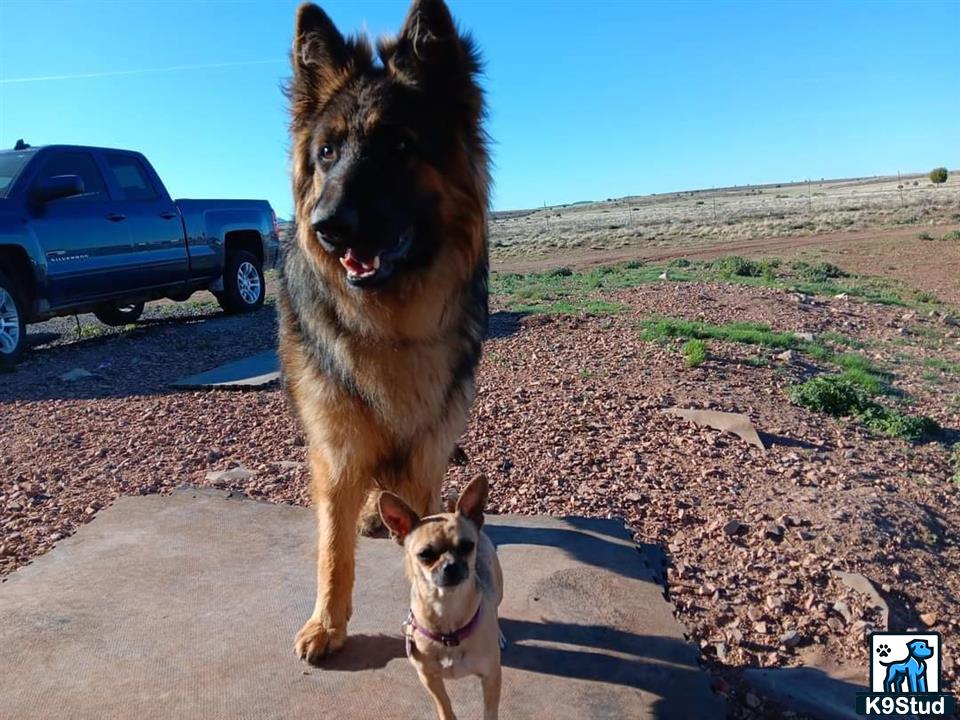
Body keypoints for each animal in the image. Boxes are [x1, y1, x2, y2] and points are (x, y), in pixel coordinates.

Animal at [278, 1, 488, 664]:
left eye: (398, 144)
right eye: (326, 152)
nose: (328, 227)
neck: (389, 325)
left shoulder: (428, 448)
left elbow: (429, 521)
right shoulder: (336, 444)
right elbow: (332, 547)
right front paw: (326, 623)